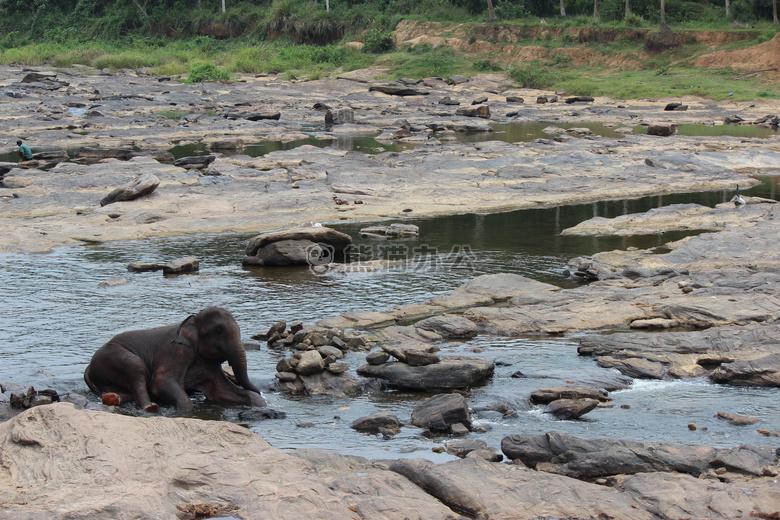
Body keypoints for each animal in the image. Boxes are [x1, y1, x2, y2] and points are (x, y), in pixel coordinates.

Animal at [84, 306, 268, 412]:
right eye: (219, 331)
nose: (260, 390)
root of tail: (88, 367)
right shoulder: (176, 352)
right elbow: (161, 382)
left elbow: (220, 391)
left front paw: (259, 401)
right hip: (113, 357)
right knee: (135, 367)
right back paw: (150, 407)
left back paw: (113, 398)